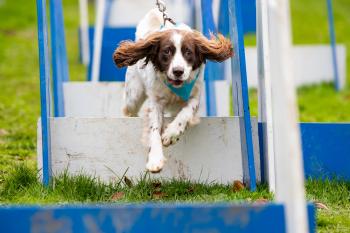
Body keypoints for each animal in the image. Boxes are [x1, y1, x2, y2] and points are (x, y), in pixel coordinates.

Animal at [113, 9, 232, 173]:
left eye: (188, 52)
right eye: (167, 51)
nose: (178, 71)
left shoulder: (195, 94)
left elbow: (186, 112)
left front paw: (171, 134)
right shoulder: (156, 102)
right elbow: (154, 128)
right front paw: (155, 159)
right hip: (134, 95)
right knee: (128, 110)